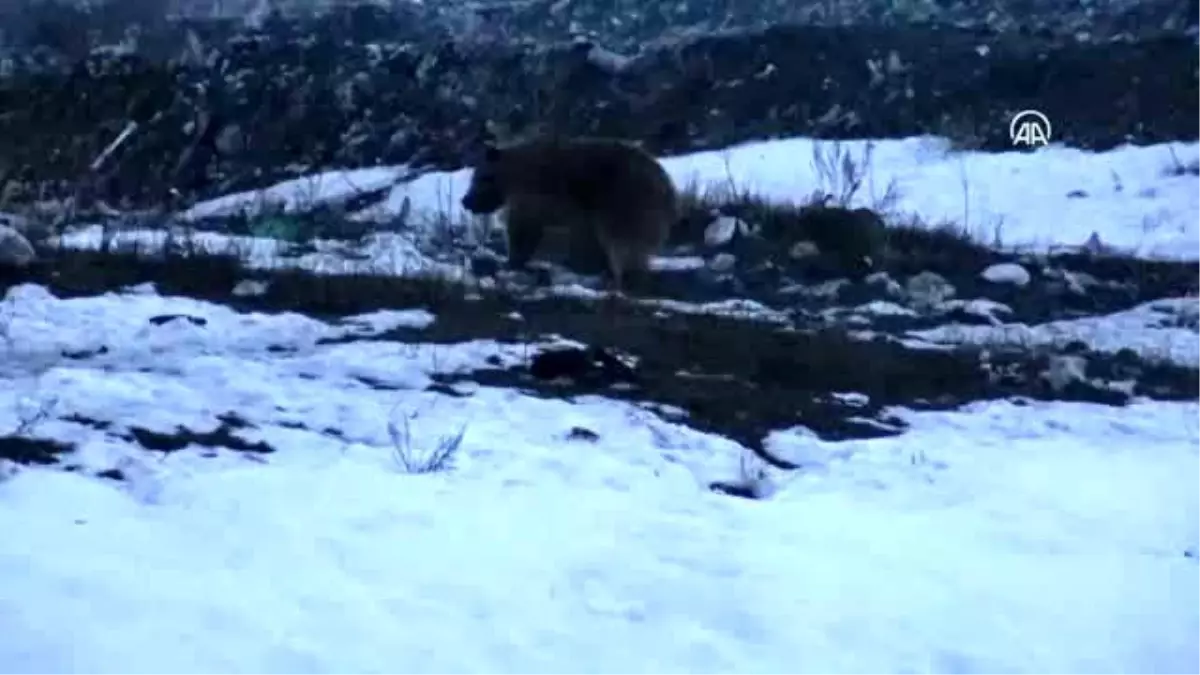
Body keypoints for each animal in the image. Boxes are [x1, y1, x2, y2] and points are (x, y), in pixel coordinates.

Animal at [456, 135, 676, 290]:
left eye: (479, 178)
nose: (466, 201)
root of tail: (669, 188)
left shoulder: (534, 199)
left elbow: (524, 231)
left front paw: (511, 262)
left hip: (626, 200)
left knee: (623, 243)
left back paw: (626, 278)